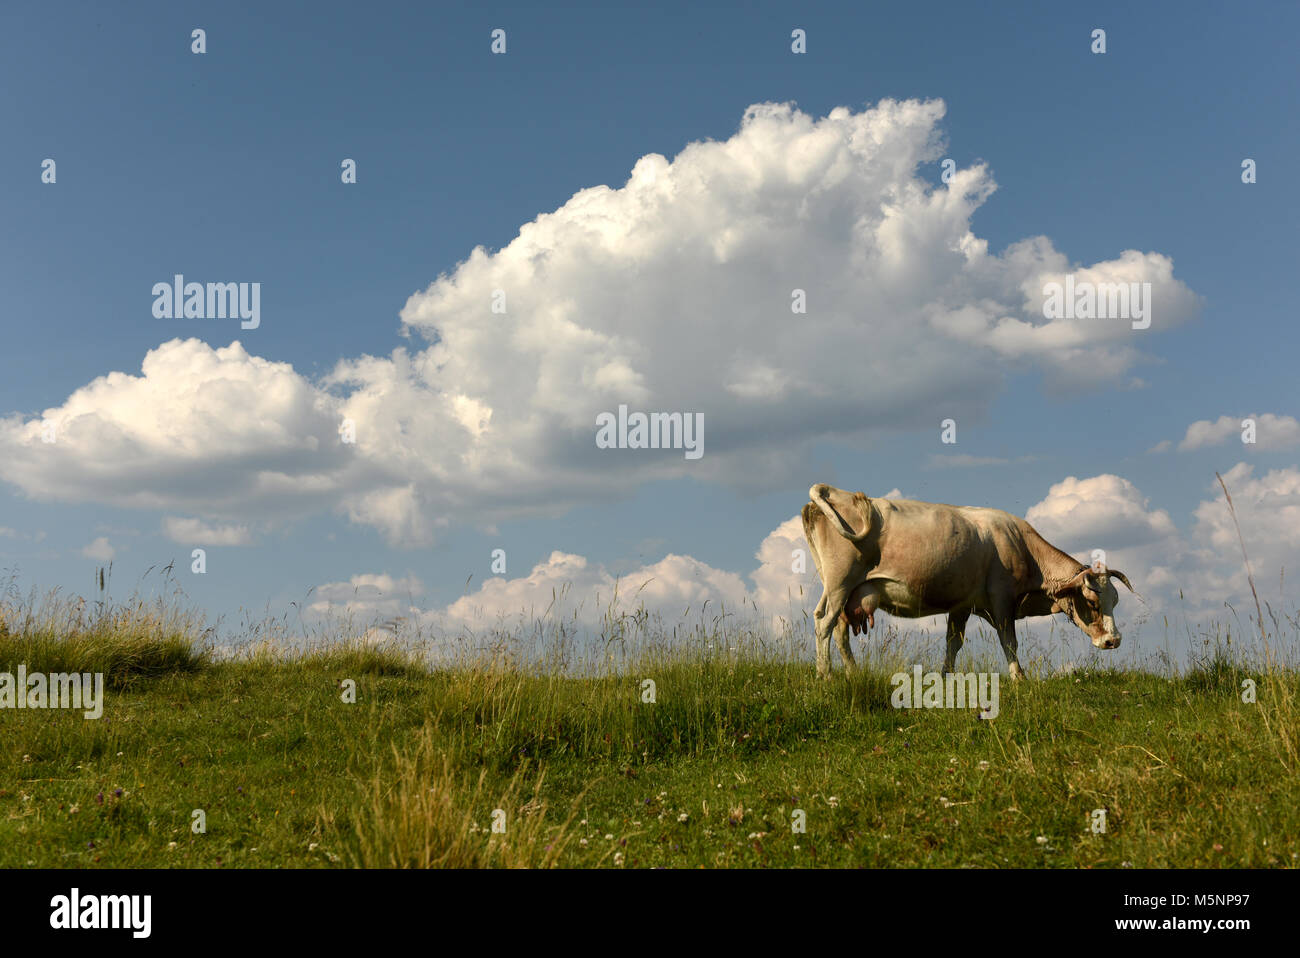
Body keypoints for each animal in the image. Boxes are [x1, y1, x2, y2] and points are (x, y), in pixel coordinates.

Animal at [800, 483, 1135, 681]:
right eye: (1092, 602)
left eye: (1116, 601)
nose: (1114, 641)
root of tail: (837, 493)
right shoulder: (1002, 599)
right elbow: (1009, 641)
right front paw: (1019, 678)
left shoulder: (961, 604)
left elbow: (953, 644)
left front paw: (944, 679)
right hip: (840, 581)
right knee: (824, 623)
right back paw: (824, 676)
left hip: (844, 590)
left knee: (838, 629)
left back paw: (853, 674)